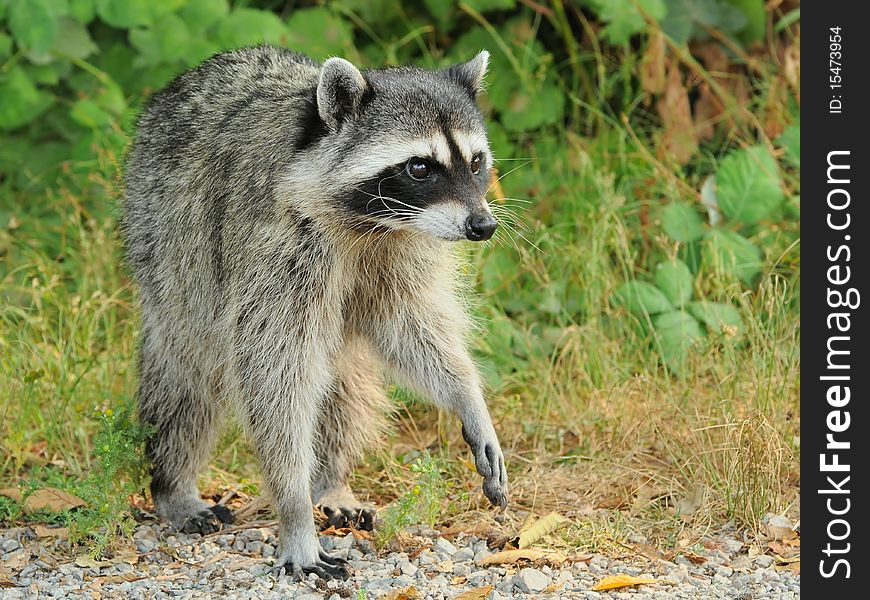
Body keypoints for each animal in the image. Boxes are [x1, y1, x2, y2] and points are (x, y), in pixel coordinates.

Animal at [119, 47, 508, 580]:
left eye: (475, 161)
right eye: (419, 167)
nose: (483, 226)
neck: (369, 222)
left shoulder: (403, 248)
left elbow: (414, 327)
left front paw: (467, 394)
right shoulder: (275, 245)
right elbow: (274, 375)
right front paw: (293, 508)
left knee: (347, 385)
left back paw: (329, 479)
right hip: (167, 251)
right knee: (185, 379)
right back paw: (174, 484)